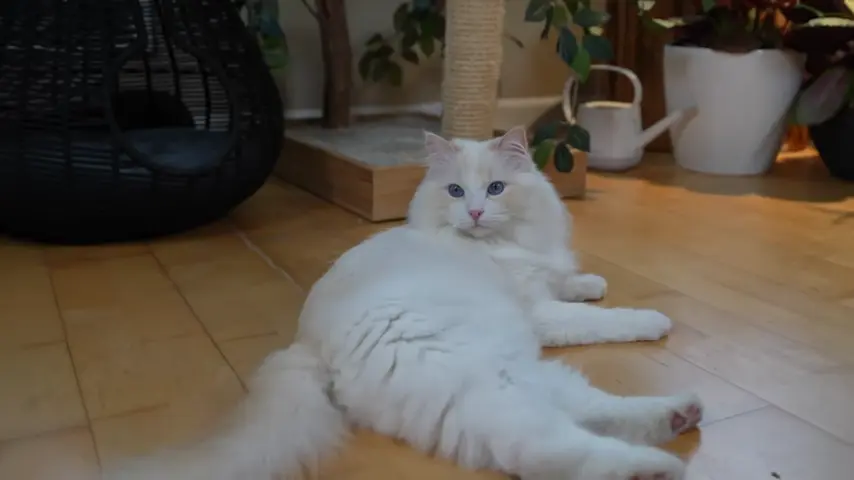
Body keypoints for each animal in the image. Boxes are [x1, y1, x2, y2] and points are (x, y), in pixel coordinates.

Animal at [108, 126, 704, 480]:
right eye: (457, 193)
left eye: (495, 189)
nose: (475, 214)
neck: (497, 243)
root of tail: (306, 346)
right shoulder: (540, 313)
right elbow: (596, 319)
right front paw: (653, 319)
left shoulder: (544, 278)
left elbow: (573, 283)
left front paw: (591, 280)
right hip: (481, 384)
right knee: (547, 446)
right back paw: (656, 467)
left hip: (515, 373)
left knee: (586, 414)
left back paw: (682, 414)